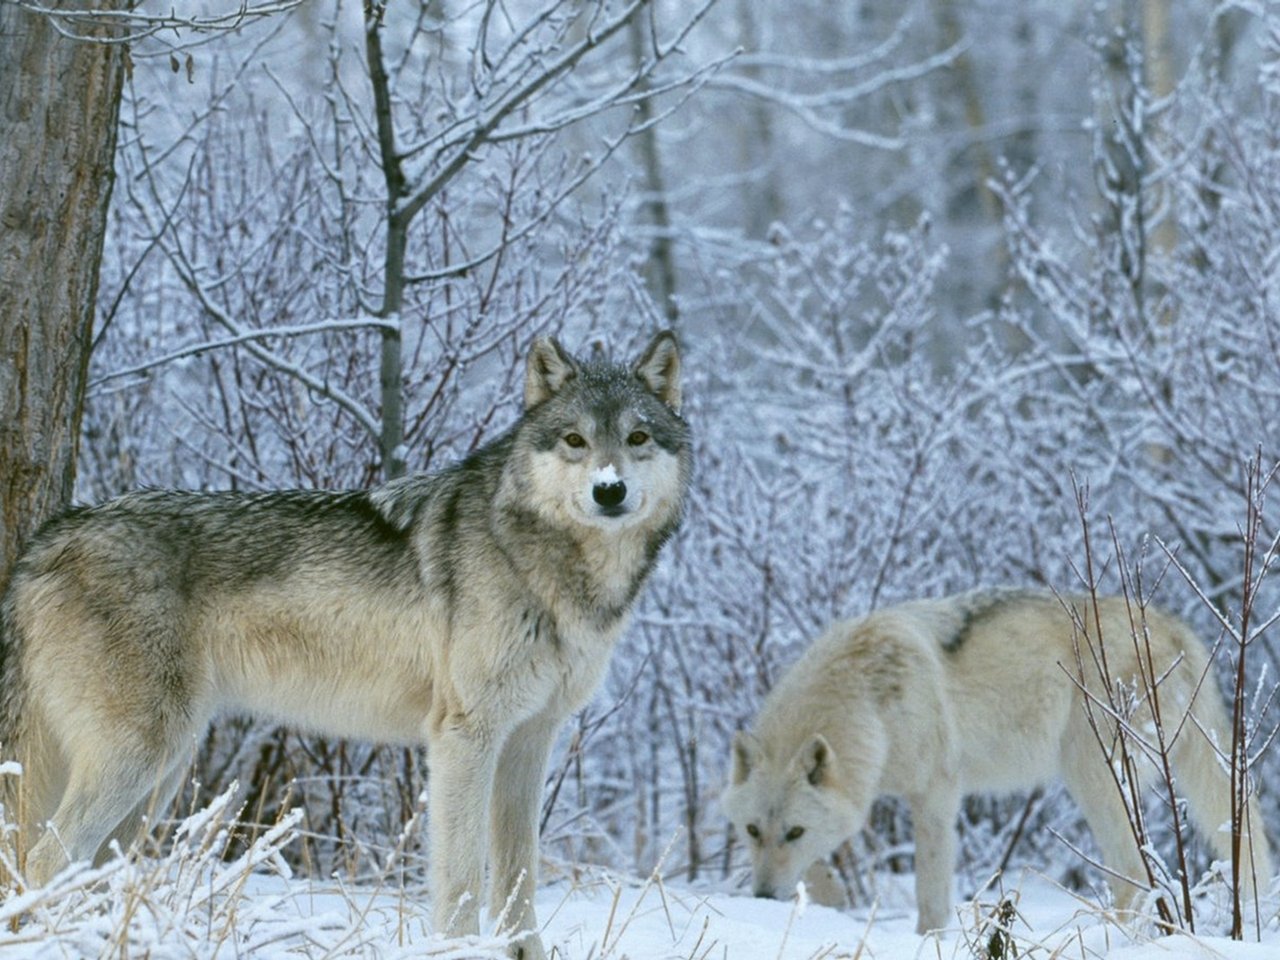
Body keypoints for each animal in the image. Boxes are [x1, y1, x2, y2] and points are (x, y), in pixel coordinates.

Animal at [0, 330, 691, 959]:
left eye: (637, 439)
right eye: (575, 441)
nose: (609, 490)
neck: (547, 565)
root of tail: (46, 539)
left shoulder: (529, 739)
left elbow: (520, 880)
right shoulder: (464, 737)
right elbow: (463, 880)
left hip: (160, 775)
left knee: (83, 866)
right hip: (142, 757)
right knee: (45, 857)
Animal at [721, 589, 1273, 934]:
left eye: (793, 831)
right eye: (752, 831)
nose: (762, 896)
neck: (868, 701)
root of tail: (1173, 626)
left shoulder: (936, 795)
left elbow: (930, 895)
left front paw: (927, 940)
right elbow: (822, 867)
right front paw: (830, 900)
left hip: (1095, 780)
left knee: (1133, 875)